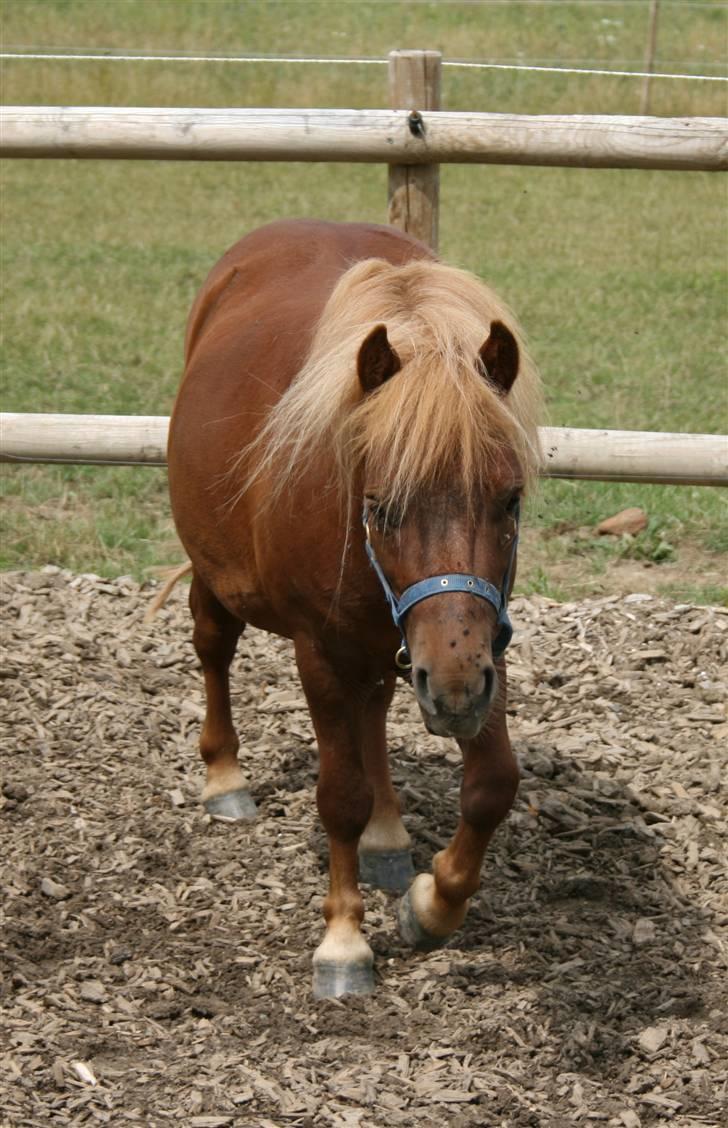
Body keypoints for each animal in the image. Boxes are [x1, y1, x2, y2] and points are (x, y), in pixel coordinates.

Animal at [165, 217, 539, 997]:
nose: (454, 687)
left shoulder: (485, 645)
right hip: (219, 575)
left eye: (510, 499)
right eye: (380, 505)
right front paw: (343, 942)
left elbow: (493, 783)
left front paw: (431, 907)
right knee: (213, 648)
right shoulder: (321, 651)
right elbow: (339, 795)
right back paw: (225, 779)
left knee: (375, 709)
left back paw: (388, 840)